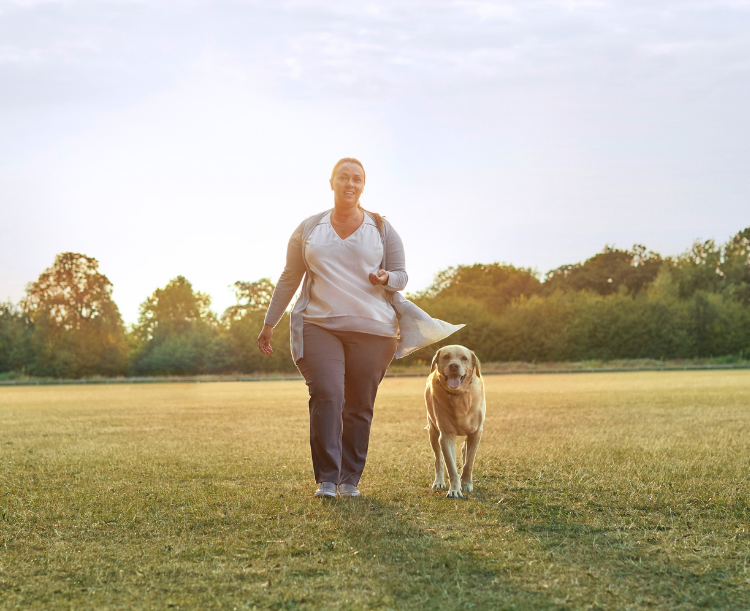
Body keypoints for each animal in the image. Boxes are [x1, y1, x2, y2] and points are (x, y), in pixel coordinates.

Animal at [426, 346, 484, 500]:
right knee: (438, 460)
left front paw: (467, 484)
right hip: (432, 430)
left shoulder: (476, 433)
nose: (453, 366)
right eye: (446, 357)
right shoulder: (446, 436)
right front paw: (454, 490)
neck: (459, 396)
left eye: (464, 358)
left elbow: (469, 462)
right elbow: (450, 466)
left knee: (465, 451)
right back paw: (439, 481)